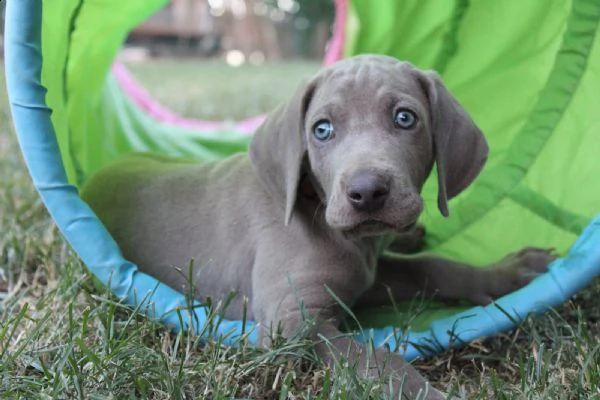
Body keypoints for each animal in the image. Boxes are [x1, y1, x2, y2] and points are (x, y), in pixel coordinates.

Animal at [82, 54, 556, 398]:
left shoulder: (367, 277)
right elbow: (373, 356)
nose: (367, 192)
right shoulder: (293, 324)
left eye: (406, 118)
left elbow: (432, 267)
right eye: (322, 130)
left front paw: (508, 272)